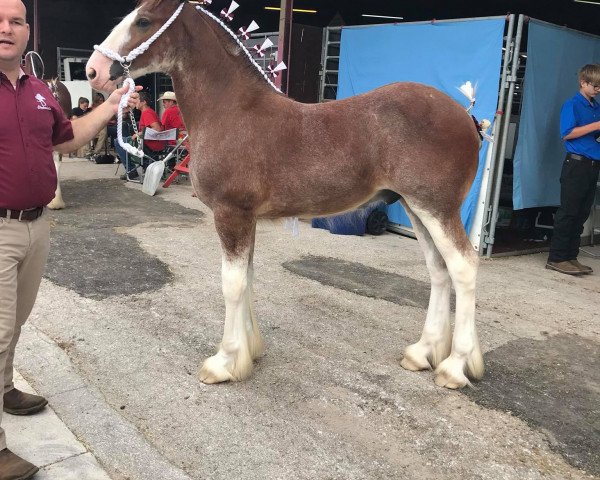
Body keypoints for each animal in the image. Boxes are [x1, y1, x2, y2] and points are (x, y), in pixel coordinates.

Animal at [85, 0, 482, 388]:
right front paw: (250, 352)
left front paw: (224, 362)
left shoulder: (231, 214)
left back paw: (455, 367)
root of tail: (466, 115)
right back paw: (423, 353)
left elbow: (232, 284)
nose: (94, 71)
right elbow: (248, 279)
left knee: (463, 268)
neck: (230, 111)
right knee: (439, 271)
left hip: (436, 208)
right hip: (416, 208)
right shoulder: (246, 219)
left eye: (143, 21)